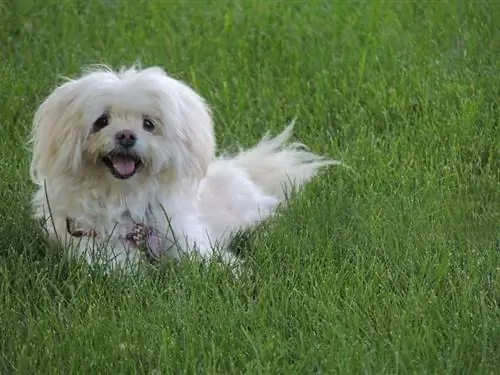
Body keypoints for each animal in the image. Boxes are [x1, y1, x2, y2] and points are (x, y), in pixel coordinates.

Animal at [29, 65, 342, 270]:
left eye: (148, 124)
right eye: (101, 121)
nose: (126, 135)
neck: (126, 195)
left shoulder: (184, 236)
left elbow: (209, 261)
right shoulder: (98, 247)